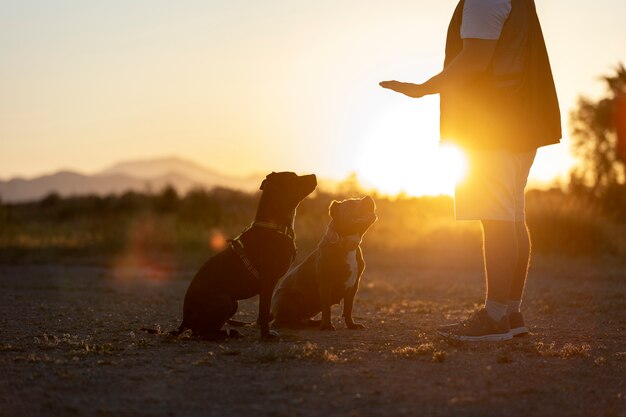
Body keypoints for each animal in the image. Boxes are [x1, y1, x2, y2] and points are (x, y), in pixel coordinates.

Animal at [176, 171, 314, 338]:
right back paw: (226, 334)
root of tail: (185, 318)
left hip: (233, 303)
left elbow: (262, 313)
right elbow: (264, 311)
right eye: (294, 177)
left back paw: (231, 332)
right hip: (225, 300)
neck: (274, 225)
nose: (314, 175)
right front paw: (266, 336)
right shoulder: (267, 281)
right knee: (203, 333)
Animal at [270, 197, 376, 330]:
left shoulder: (353, 286)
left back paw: (312, 323)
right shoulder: (326, 283)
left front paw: (351, 324)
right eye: (352, 202)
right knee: (278, 322)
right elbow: (326, 307)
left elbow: (348, 307)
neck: (346, 244)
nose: (368, 197)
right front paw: (327, 326)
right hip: (285, 299)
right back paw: (298, 325)